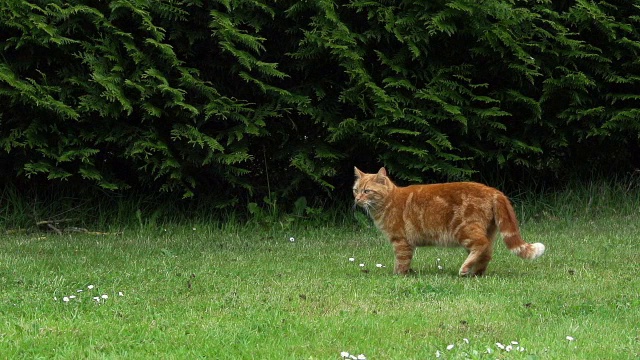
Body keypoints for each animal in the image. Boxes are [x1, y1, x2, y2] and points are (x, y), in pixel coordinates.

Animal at [352, 167, 544, 276]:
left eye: (367, 191)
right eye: (355, 190)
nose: (357, 199)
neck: (389, 201)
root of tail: (494, 191)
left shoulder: (401, 241)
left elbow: (401, 261)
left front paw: (398, 276)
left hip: (464, 231)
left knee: (481, 245)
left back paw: (465, 269)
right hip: (485, 232)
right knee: (487, 253)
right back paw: (477, 274)